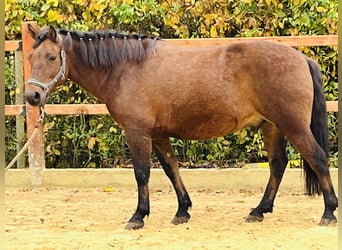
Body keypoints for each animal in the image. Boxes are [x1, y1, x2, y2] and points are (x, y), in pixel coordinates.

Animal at [24, 24, 336, 229]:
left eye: (52, 57)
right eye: (30, 58)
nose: (32, 96)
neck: (125, 68)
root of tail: (302, 58)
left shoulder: (137, 133)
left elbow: (142, 173)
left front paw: (138, 216)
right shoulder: (159, 135)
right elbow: (171, 169)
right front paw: (182, 211)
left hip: (293, 126)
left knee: (318, 158)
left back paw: (329, 212)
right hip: (272, 126)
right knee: (277, 164)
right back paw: (259, 211)